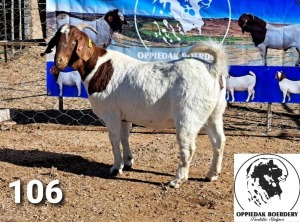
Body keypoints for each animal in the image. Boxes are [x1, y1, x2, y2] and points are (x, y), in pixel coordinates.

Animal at [42, 24, 229, 188]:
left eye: (75, 41)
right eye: (57, 39)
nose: (58, 61)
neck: (97, 66)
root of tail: (212, 69)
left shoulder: (111, 114)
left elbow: (114, 139)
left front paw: (116, 167)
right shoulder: (124, 116)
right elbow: (125, 137)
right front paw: (128, 161)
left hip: (188, 116)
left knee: (188, 147)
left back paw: (177, 180)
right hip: (213, 114)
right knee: (219, 141)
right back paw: (212, 174)